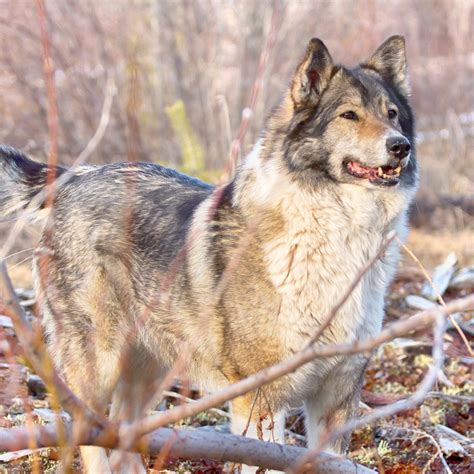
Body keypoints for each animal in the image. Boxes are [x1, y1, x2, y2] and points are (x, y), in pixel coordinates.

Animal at [0, 35, 414, 472]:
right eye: (349, 115)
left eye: (392, 115)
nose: (399, 145)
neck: (341, 236)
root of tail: (74, 174)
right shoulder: (259, 399)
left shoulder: (337, 397)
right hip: (100, 363)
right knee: (92, 433)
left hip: (149, 372)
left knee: (123, 434)